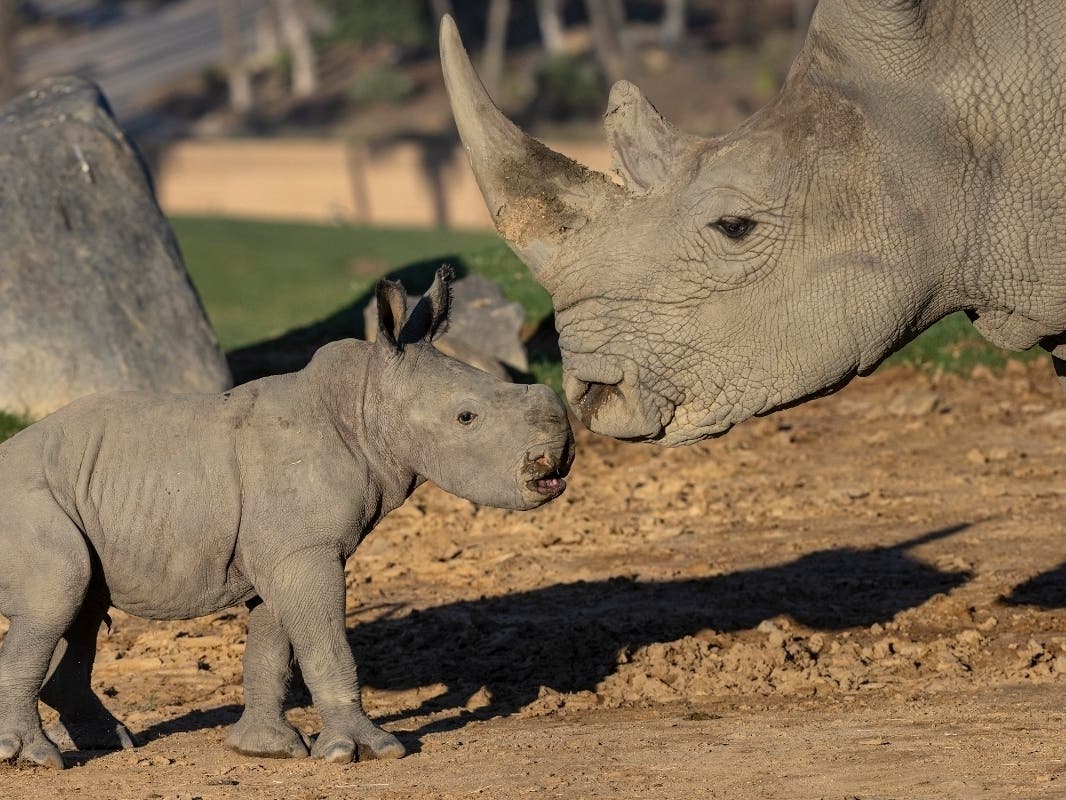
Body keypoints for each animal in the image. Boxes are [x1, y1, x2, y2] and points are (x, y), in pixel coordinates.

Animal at [0, 267, 573, 769]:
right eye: (466, 417)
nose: (558, 457)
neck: (364, 402)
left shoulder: (283, 550)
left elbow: (272, 648)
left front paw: (265, 748)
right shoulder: (304, 549)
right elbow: (326, 644)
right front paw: (363, 751)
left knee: (83, 606)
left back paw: (109, 742)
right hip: (25, 502)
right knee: (60, 589)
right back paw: (36, 759)